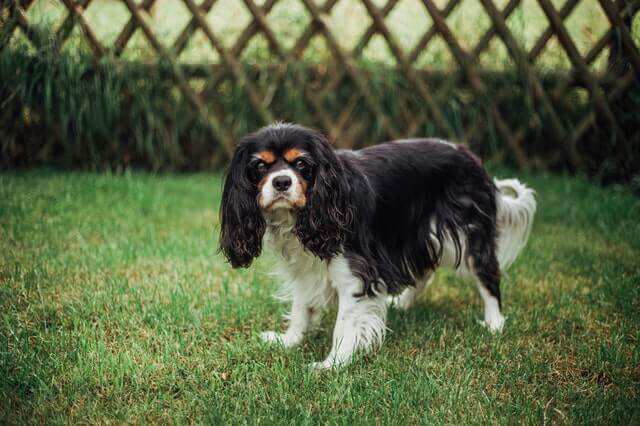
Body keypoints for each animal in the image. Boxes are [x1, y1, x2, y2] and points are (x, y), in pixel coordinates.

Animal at [220, 121, 536, 368]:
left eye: (301, 164)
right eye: (260, 166)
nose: (282, 182)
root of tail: (469, 156)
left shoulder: (354, 273)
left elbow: (344, 325)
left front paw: (331, 364)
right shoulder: (306, 269)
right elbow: (301, 308)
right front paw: (289, 341)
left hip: (468, 233)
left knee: (487, 275)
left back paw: (494, 323)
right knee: (424, 270)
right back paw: (403, 302)